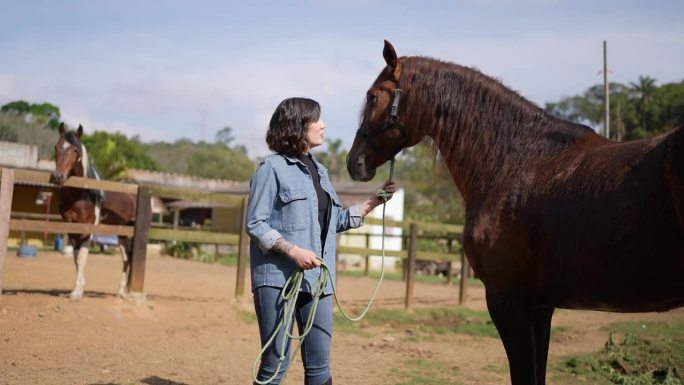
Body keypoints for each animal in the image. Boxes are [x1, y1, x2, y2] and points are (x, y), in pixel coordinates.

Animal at [52, 124, 138, 298]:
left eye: (75, 150)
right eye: (56, 147)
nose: (58, 177)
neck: (83, 193)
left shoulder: (87, 228)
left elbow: (82, 257)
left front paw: (76, 293)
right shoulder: (72, 227)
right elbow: (76, 257)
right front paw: (79, 289)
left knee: (128, 256)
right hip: (122, 233)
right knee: (126, 257)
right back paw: (120, 291)